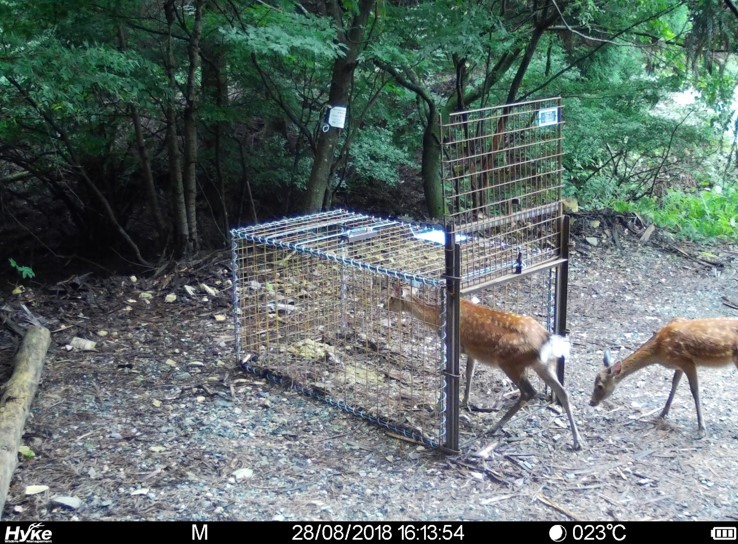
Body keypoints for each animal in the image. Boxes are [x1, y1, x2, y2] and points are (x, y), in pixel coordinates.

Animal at [386, 288, 580, 450]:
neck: (437, 319)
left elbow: (449, 375)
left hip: (510, 362)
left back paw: (494, 428)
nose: (384, 305)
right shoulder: (471, 351)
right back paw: (577, 441)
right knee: (562, 391)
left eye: (392, 298)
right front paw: (465, 403)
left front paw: (438, 406)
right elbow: (469, 373)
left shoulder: (453, 345)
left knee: (529, 392)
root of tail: (548, 340)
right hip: (545, 364)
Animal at [588, 316, 736, 436]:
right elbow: (674, 383)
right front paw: (662, 413)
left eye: (599, 386)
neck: (659, 351)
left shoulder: (687, 361)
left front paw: (701, 428)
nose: (591, 402)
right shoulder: (679, 365)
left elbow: (694, 390)